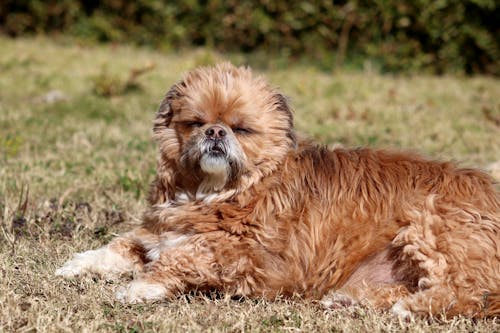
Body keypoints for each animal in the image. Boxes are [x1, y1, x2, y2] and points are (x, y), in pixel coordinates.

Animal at [55, 63, 500, 316]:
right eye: (195, 123)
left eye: (241, 129)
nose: (215, 132)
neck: (218, 192)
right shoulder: (155, 232)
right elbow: (117, 247)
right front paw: (76, 265)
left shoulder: (250, 257)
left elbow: (181, 256)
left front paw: (141, 286)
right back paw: (350, 301)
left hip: (432, 225)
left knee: (466, 294)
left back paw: (411, 309)